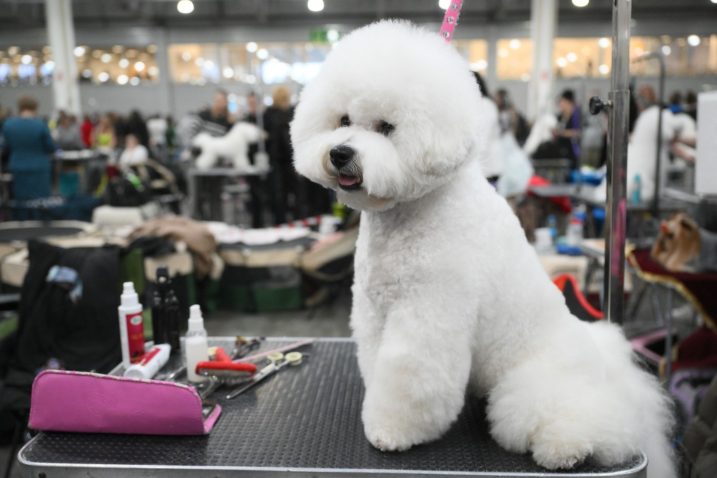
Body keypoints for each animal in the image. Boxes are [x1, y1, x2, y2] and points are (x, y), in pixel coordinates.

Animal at [288, 20, 676, 476]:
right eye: (343, 119)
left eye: (386, 127)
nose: (340, 152)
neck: (411, 214)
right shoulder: (373, 311)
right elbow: (375, 361)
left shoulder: (428, 312)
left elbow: (408, 374)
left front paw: (392, 431)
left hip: (536, 385)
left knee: (587, 421)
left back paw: (566, 448)